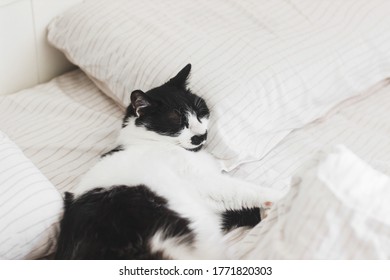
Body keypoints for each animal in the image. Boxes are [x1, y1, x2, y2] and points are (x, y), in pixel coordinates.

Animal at [55, 64, 280, 260]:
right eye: (177, 121)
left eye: (200, 112)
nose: (202, 135)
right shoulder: (203, 182)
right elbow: (242, 190)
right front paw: (278, 198)